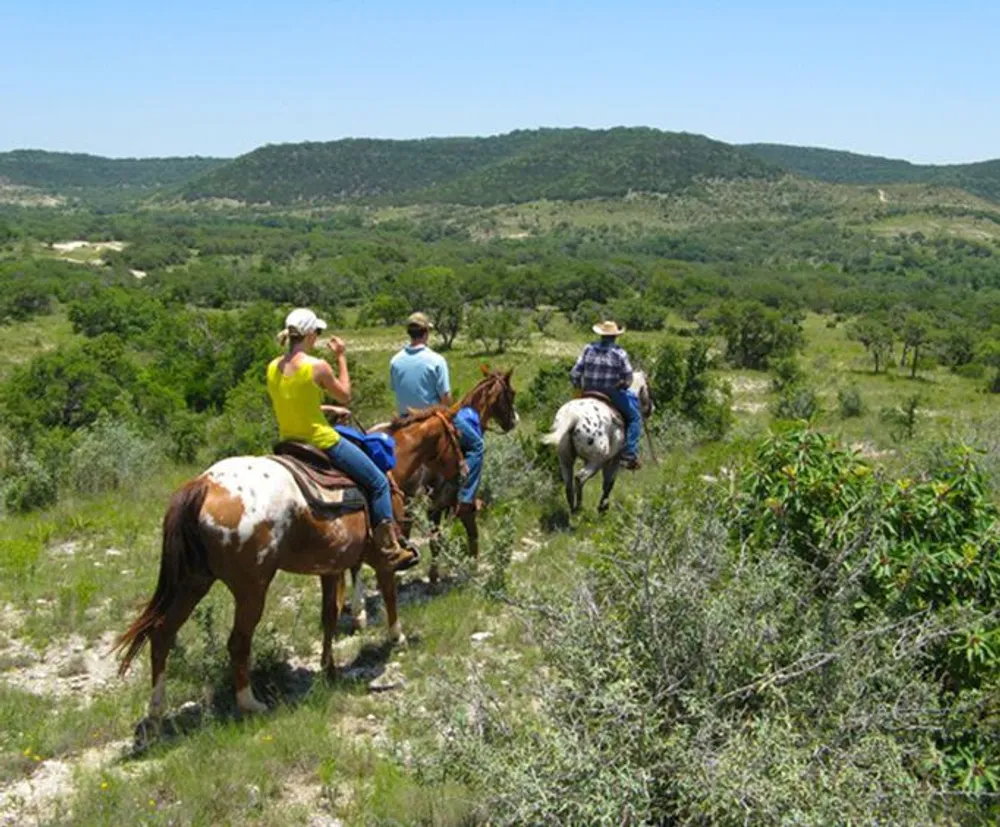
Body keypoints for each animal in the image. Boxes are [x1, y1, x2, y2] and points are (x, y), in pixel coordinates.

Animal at [116, 410, 464, 720]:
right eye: (457, 437)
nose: (461, 475)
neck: (389, 463)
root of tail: (203, 485)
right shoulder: (381, 560)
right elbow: (390, 596)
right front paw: (397, 638)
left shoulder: (330, 567)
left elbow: (329, 616)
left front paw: (329, 668)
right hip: (251, 588)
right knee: (237, 642)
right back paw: (250, 703)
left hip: (193, 580)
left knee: (162, 633)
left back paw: (156, 712)